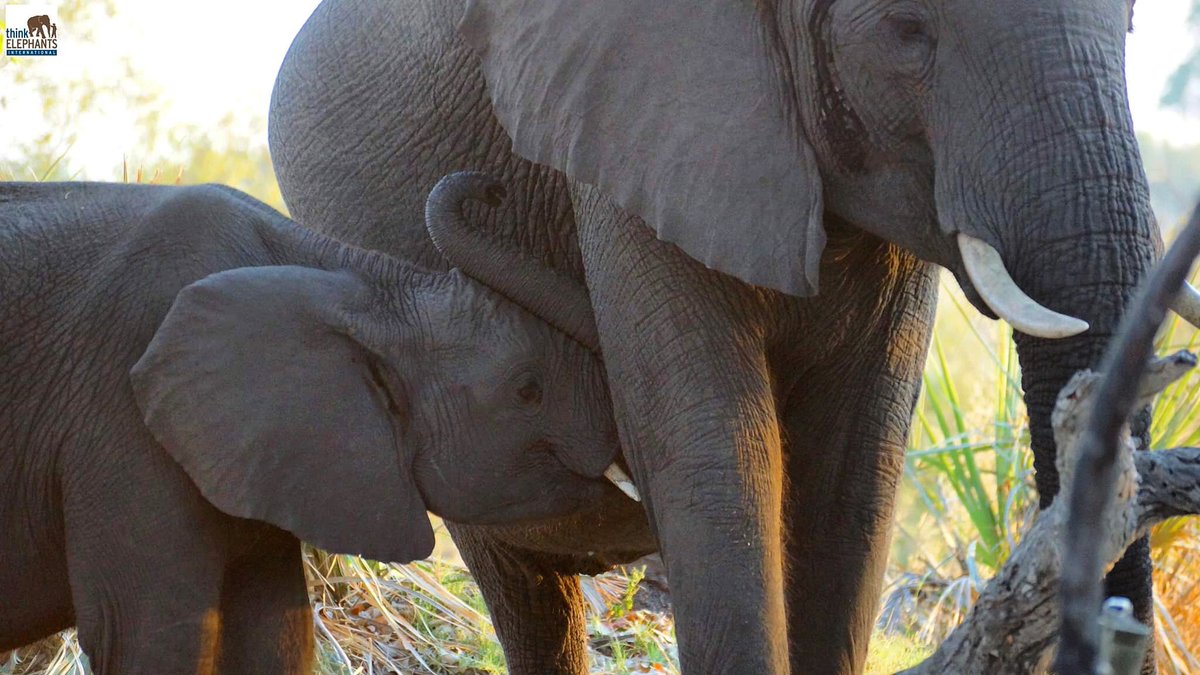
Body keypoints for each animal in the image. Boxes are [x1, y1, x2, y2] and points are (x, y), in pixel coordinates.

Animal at [0, 175, 638, 673]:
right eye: (528, 390)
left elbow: (277, 639)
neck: (353, 275)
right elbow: (149, 638)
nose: (492, 187)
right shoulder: (119, 418)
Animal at [268, 0, 1198, 672]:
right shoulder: (633, 128)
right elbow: (715, 449)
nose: (486, 190)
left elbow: (852, 471)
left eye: (1129, 26)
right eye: (907, 31)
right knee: (522, 589)